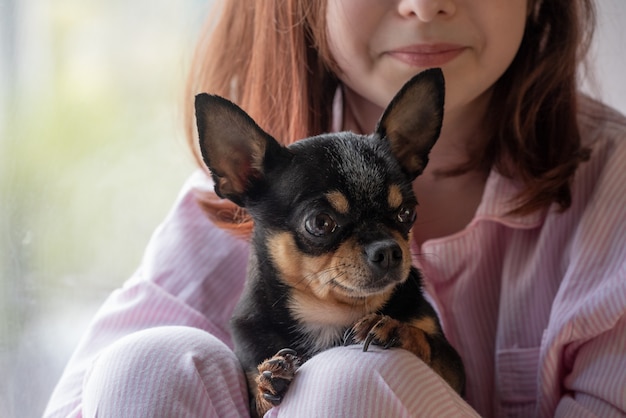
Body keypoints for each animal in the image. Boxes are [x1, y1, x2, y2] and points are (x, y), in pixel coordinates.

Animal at [195, 67, 464, 416]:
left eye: (407, 213)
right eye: (320, 223)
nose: (389, 251)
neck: (330, 315)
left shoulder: (456, 373)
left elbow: (430, 345)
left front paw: (396, 329)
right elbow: (258, 391)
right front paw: (267, 381)